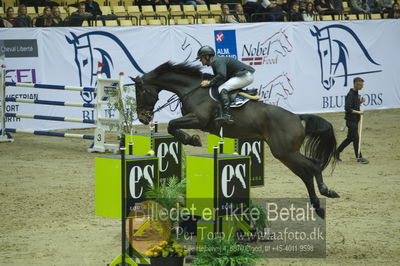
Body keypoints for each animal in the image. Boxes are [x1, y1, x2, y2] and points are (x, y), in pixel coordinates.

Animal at [133, 61, 340, 218]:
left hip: (286, 152)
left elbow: (172, 125)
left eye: (141, 91)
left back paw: (327, 191)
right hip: (284, 154)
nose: (143, 117)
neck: (191, 89)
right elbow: (172, 126)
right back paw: (318, 207)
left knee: (313, 165)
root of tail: (297, 117)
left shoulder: (198, 119)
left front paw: (192, 139)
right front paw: (191, 139)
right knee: (305, 175)